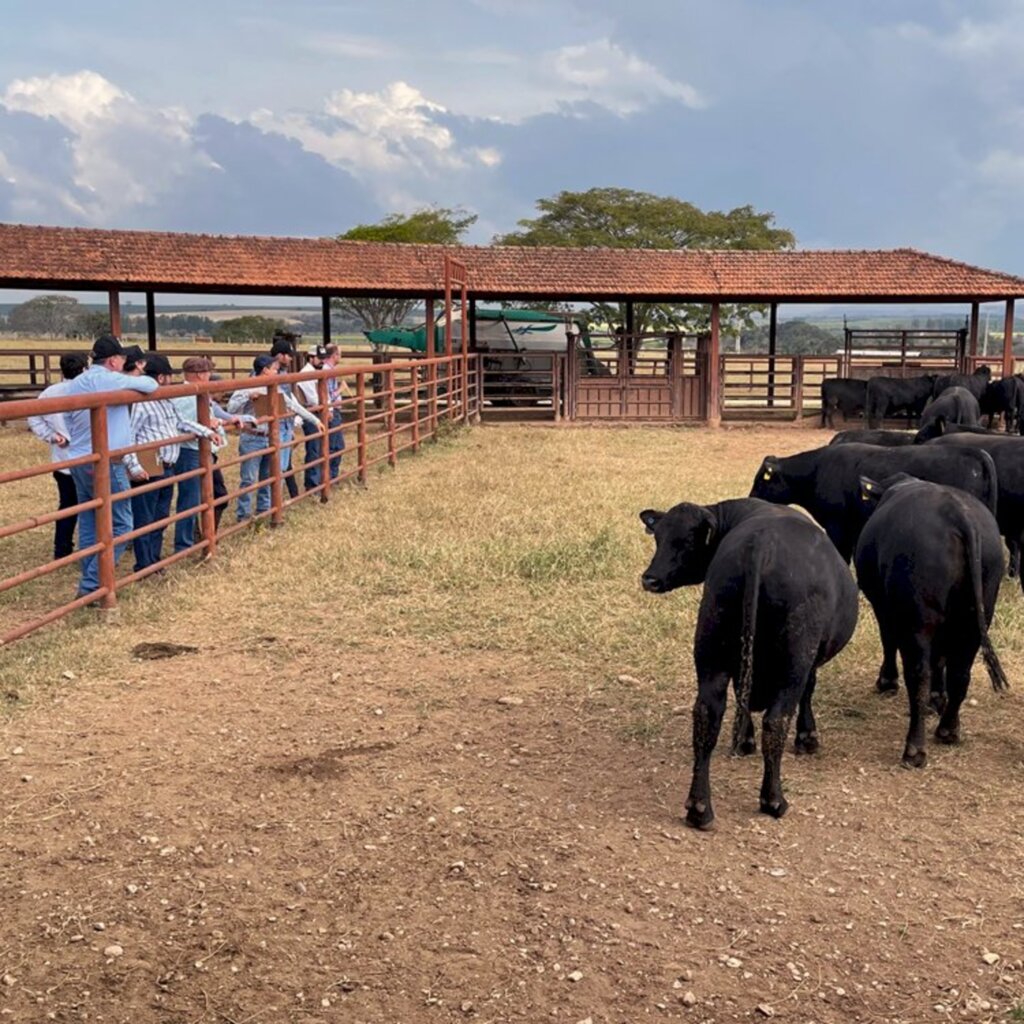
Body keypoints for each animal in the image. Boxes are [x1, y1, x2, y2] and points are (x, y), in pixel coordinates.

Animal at [638, 499, 856, 827]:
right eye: (658, 537)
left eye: (686, 540)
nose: (650, 578)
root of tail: (760, 543)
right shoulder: (808, 663)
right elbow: (808, 691)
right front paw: (807, 738)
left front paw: (743, 739)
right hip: (794, 661)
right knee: (776, 721)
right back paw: (773, 800)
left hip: (711, 649)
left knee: (707, 715)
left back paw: (699, 808)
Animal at [851, 475, 1003, 765]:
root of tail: (957, 512)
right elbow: (941, 660)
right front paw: (937, 698)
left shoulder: (884, 608)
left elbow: (888, 641)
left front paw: (887, 682)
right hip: (974, 618)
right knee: (960, 673)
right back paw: (948, 730)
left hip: (919, 620)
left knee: (918, 674)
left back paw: (914, 749)